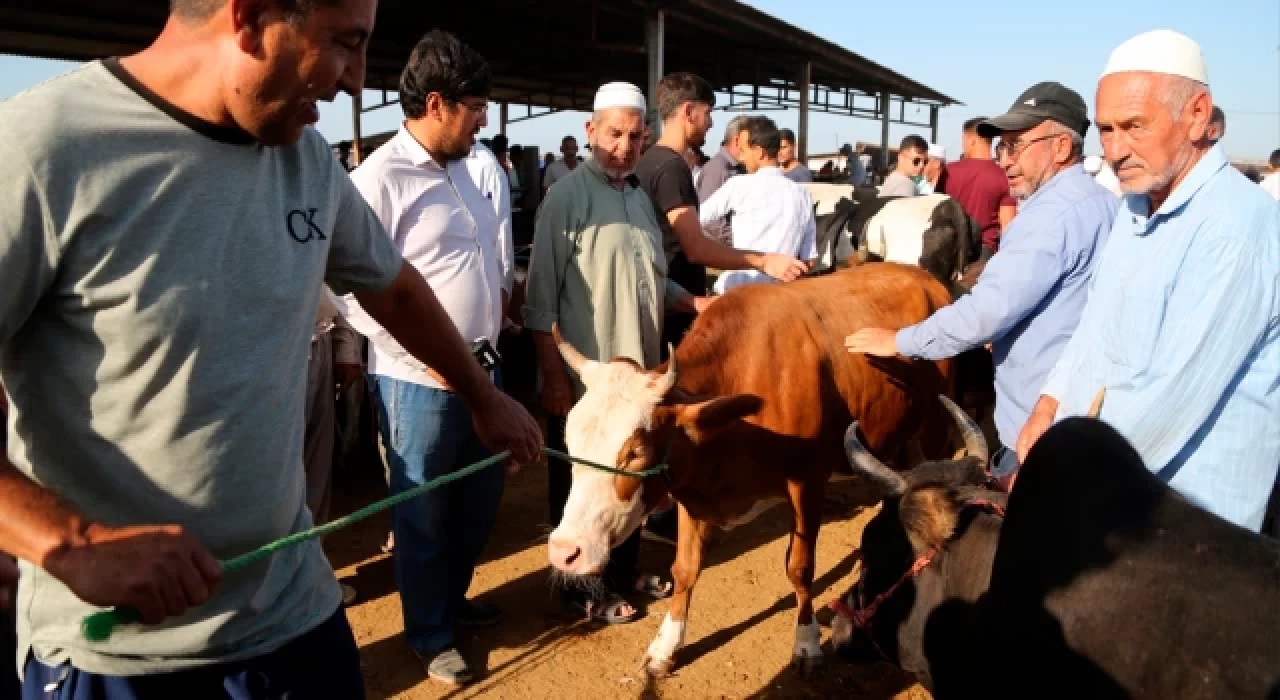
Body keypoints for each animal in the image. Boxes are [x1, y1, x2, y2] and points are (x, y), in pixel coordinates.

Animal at [547, 261, 962, 675]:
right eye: (569, 440)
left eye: (635, 451)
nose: (565, 551)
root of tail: (922, 275)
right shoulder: (691, 491)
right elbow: (685, 568)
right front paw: (665, 645)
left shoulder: (806, 481)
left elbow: (800, 568)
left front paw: (807, 642)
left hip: (936, 424)